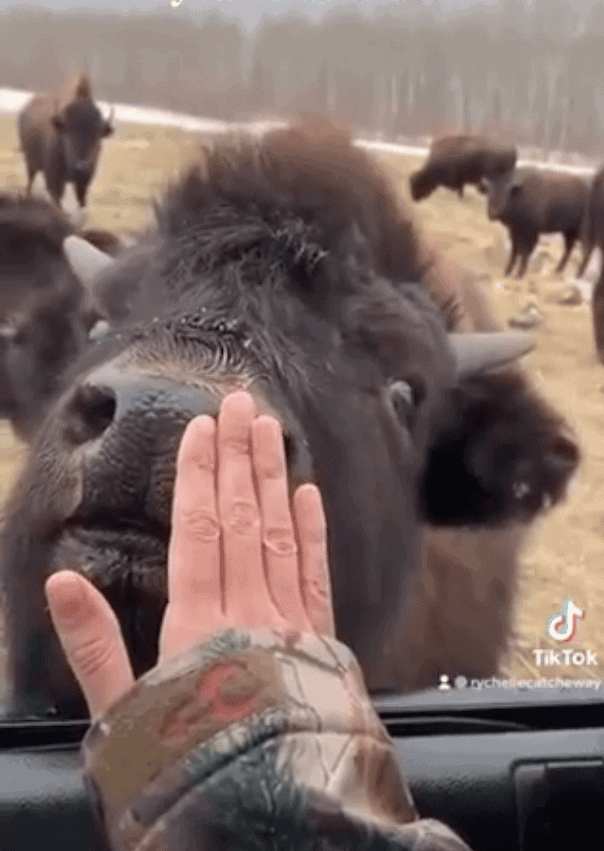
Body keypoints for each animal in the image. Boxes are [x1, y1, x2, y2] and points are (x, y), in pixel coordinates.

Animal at [17, 74, 114, 210]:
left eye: (96, 135)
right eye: (68, 132)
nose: (80, 168)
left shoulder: (85, 180)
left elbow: (80, 201)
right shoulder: (54, 177)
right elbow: (57, 198)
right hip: (30, 162)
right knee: (30, 180)